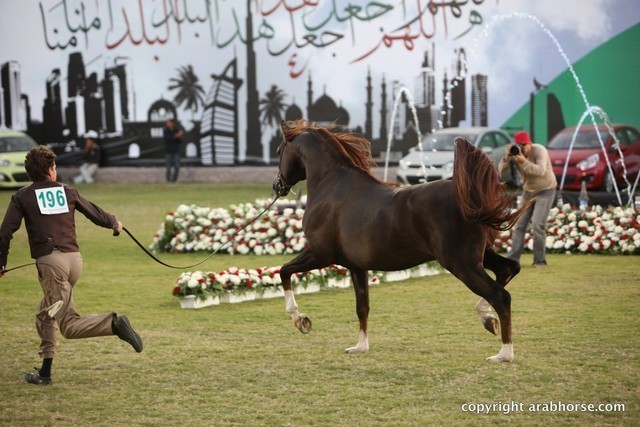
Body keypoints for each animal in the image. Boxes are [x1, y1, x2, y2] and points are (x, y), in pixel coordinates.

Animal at [272, 119, 526, 362]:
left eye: (278, 150)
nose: (277, 186)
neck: (331, 186)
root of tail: (468, 197)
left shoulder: (319, 253)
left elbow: (284, 271)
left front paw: (301, 320)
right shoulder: (356, 266)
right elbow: (362, 307)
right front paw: (360, 347)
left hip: (462, 264)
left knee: (500, 296)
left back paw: (504, 354)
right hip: (480, 256)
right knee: (508, 269)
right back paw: (488, 320)